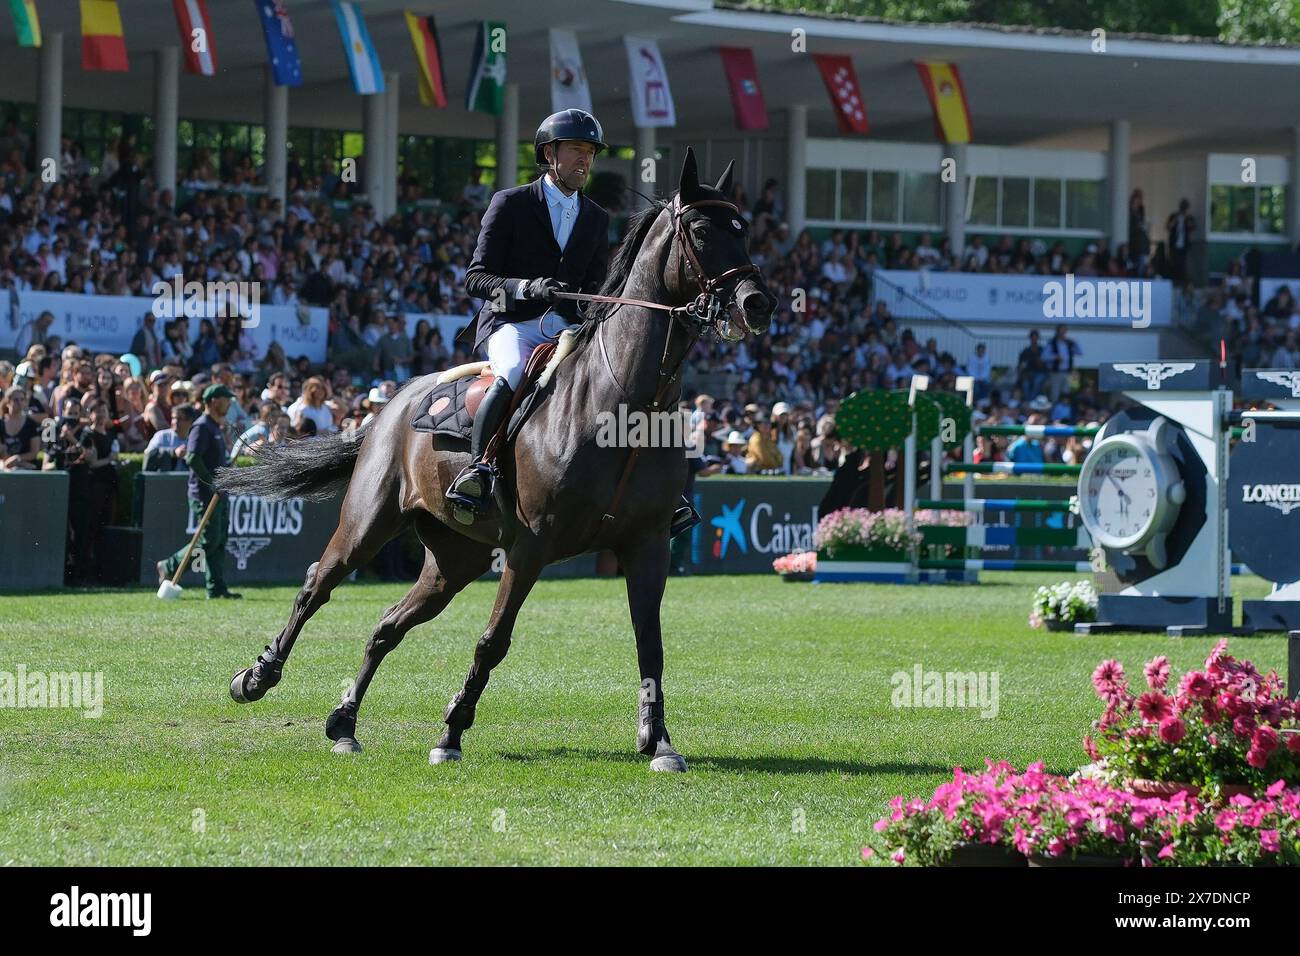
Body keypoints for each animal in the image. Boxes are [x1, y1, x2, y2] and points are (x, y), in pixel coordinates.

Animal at [215, 151, 769, 780]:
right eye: (700, 230)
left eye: (743, 229)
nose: (758, 304)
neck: (626, 403)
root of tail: (392, 406)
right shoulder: (531, 545)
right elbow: (493, 640)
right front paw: (451, 732)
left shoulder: (648, 544)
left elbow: (650, 643)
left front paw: (660, 741)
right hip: (368, 526)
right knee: (316, 587)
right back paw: (256, 678)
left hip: (455, 559)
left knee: (387, 626)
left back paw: (344, 723)